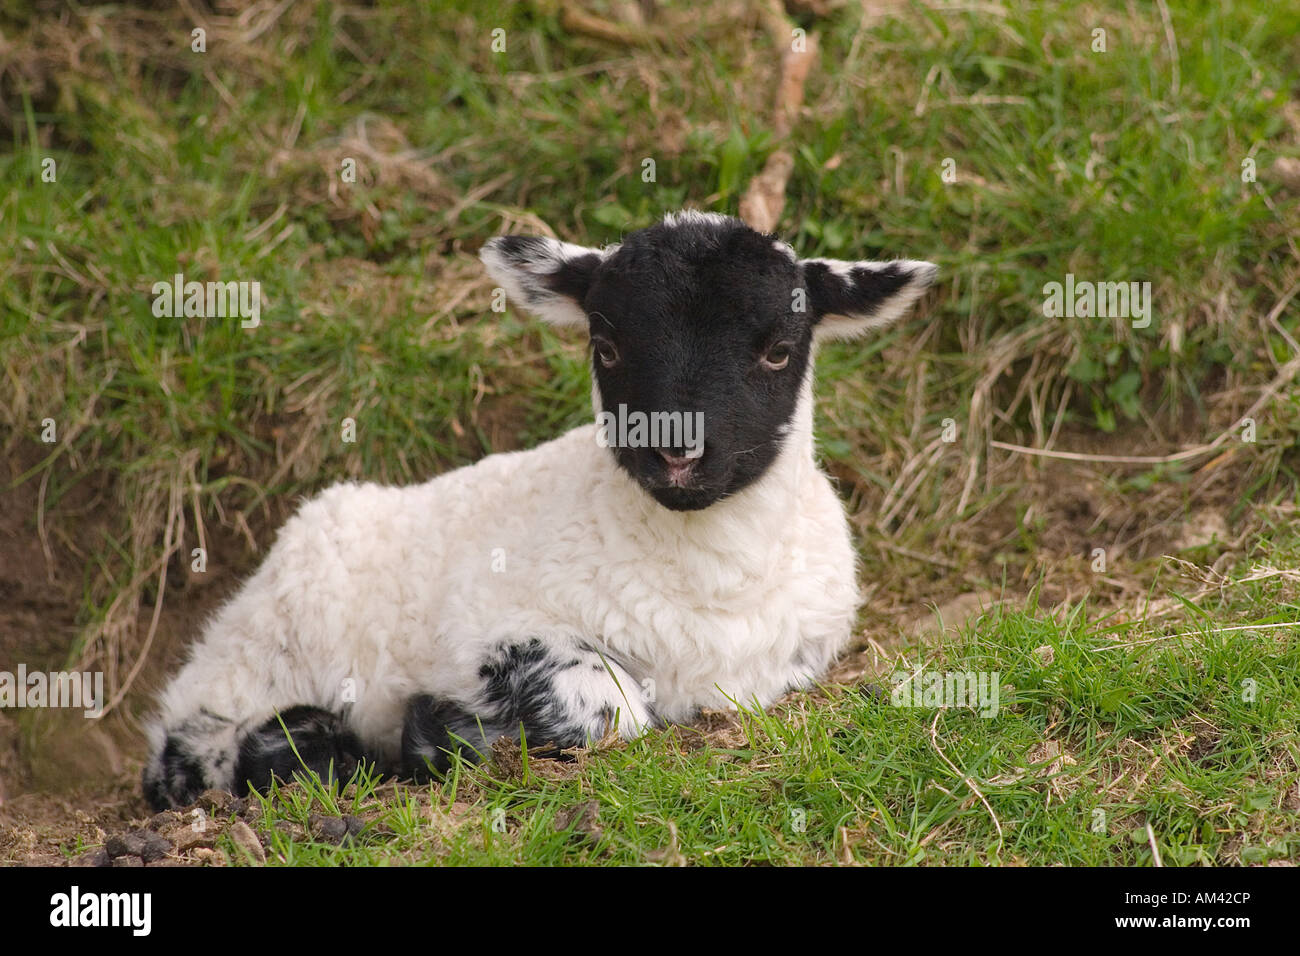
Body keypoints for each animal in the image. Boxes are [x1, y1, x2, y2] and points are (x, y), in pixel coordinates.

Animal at [142, 209, 935, 806]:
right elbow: (611, 708)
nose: (677, 448)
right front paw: (445, 729)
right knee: (191, 752)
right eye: (606, 346)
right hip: (257, 653)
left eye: (778, 351)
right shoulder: (487, 625)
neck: (707, 578)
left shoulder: (795, 659)